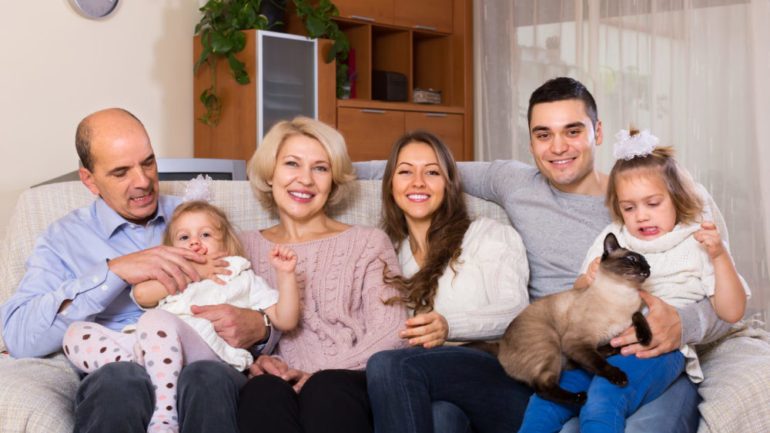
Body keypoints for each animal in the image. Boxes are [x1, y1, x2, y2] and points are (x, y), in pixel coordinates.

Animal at [496, 233, 652, 404]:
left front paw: (645, 338)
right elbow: (599, 363)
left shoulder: (628, 320)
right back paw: (579, 397)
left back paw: (612, 349)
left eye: (647, 264)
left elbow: (638, 315)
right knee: (543, 387)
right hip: (551, 343)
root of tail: (500, 347)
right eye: (632, 259)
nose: (648, 269)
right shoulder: (576, 342)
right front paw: (618, 376)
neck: (624, 295)